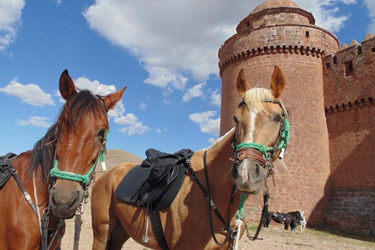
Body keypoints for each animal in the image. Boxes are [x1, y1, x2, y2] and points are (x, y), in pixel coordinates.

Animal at [92, 65, 290, 249]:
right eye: (236, 118)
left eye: (277, 117)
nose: (245, 173)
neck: (213, 191)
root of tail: (106, 175)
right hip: (102, 232)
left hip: (120, 232)